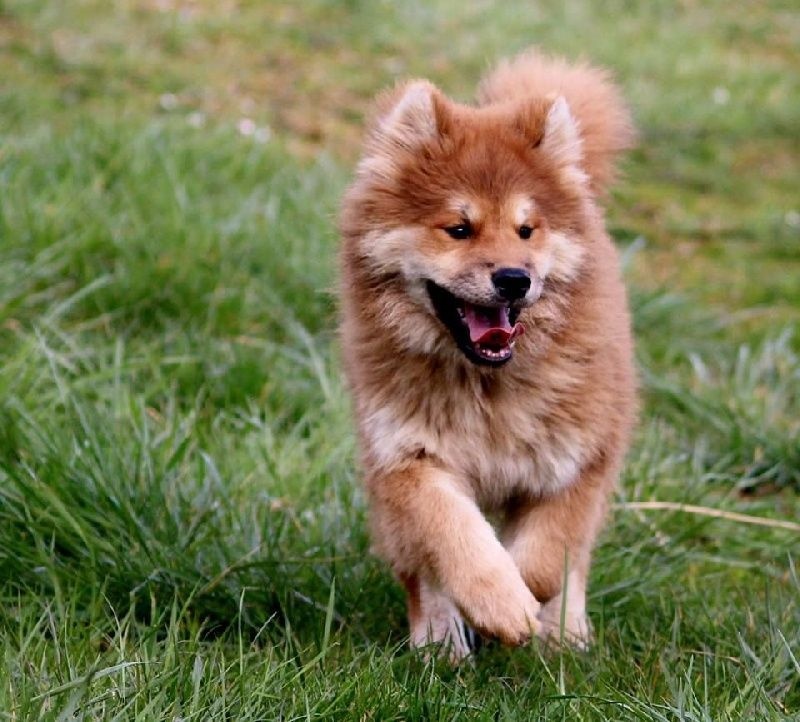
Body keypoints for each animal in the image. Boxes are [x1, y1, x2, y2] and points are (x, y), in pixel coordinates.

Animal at [338, 49, 636, 660]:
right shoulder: (409, 457)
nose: (514, 278)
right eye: (458, 228)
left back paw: (566, 634)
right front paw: (497, 604)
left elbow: (547, 558)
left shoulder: (579, 459)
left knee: (576, 561)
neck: (487, 385)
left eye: (526, 230)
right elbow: (456, 539)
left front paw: (530, 607)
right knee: (420, 573)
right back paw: (439, 642)